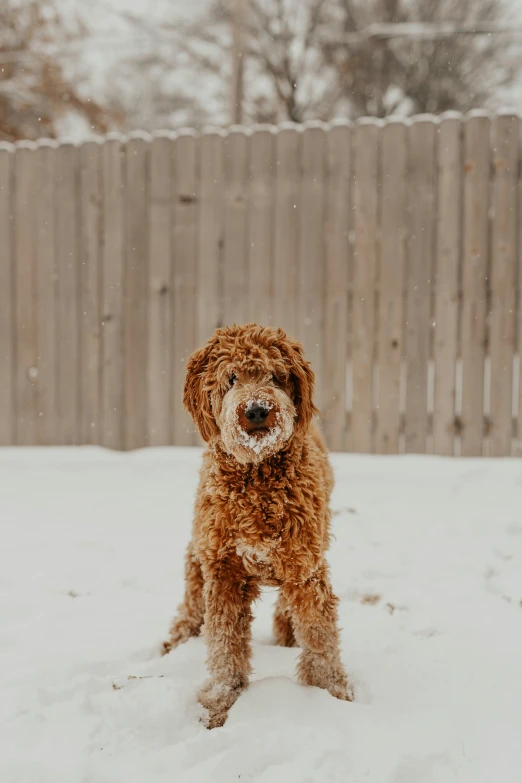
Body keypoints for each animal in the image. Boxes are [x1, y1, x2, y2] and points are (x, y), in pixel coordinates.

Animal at [160, 324, 352, 728]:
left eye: (275, 376)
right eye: (231, 378)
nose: (257, 410)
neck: (257, 478)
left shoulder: (305, 567)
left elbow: (320, 633)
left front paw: (330, 691)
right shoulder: (224, 572)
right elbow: (224, 644)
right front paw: (220, 700)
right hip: (199, 547)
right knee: (191, 595)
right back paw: (178, 638)